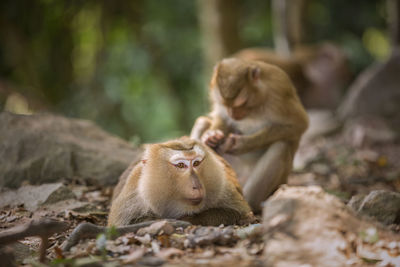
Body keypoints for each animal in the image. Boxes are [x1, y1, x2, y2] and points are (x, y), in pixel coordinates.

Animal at [108, 137, 255, 227]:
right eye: (180, 165)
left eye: (196, 163)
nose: (197, 186)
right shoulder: (135, 193)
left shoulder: (222, 188)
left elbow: (240, 212)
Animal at [191, 58, 310, 214]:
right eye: (225, 104)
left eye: (242, 102)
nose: (233, 114)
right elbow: (221, 117)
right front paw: (212, 136)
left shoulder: (279, 93)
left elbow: (298, 125)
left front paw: (241, 144)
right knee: (202, 121)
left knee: (281, 147)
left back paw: (248, 203)